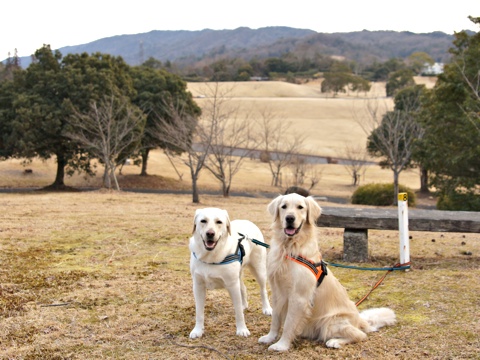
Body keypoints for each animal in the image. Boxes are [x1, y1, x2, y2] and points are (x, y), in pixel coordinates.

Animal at [189, 207, 272, 338]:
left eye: (219, 222)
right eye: (203, 221)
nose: (210, 234)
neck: (211, 257)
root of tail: (247, 221)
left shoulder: (232, 285)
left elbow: (238, 312)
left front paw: (242, 329)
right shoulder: (198, 286)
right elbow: (199, 312)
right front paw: (197, 330)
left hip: (259, 270)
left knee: (263, 290)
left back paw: (267, 308)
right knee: (243, 288)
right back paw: (244, 305)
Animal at [260, 194, 396, 352]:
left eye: (300, 207)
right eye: (284, 207)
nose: (289, 218)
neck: (289, 247)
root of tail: (358, 319)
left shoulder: (299, 296)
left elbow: (288, 323)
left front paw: (281, 345)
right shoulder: (277, 291)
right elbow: (275, 319)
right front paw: (270, 337)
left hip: (330, 322)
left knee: (360, 335)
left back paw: (335, 341)